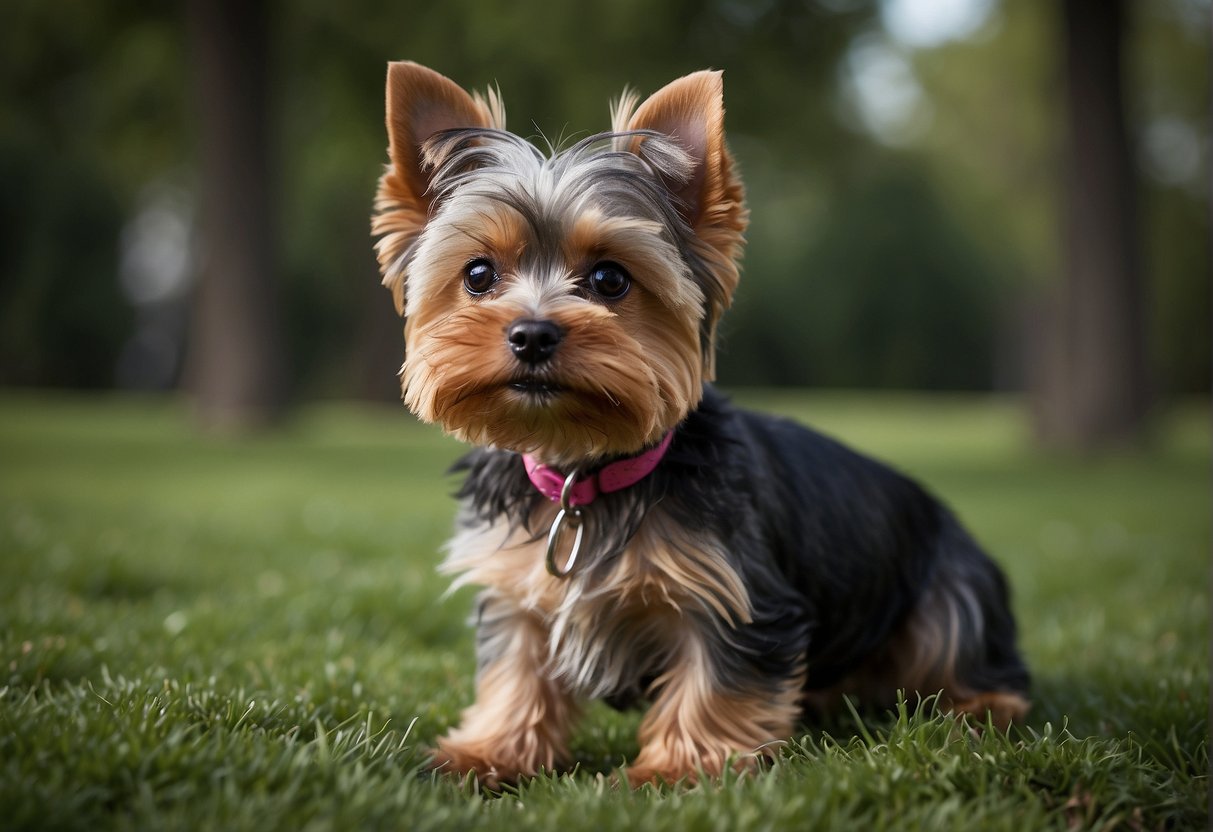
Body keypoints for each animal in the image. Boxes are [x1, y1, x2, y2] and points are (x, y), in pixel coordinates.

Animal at [368, 61, 1023, 785]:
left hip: (950, 592)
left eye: (610, 279)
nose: (532, 334)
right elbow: (516, 672)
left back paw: (978, 709)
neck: (582, 470)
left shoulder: (736, 592)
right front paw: (490, 750)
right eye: (479, 274)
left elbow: (714, 678)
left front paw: (680, 770)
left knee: (965, 656)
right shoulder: (515, 591)